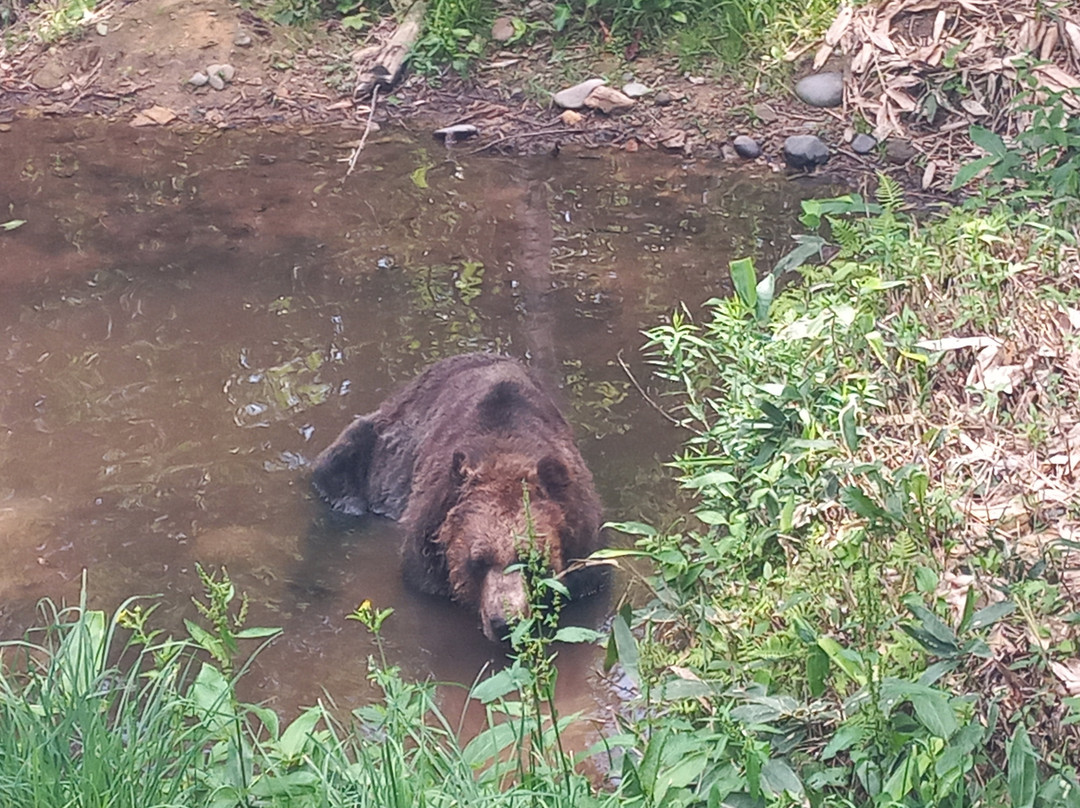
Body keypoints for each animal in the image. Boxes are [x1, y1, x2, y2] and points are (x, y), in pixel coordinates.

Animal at [311, 353, 605, 641]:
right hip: (372, 449)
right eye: (478, 560)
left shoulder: (584, 553)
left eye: (532, 558)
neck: (507, 454)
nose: (505, 623)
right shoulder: (428, 553)